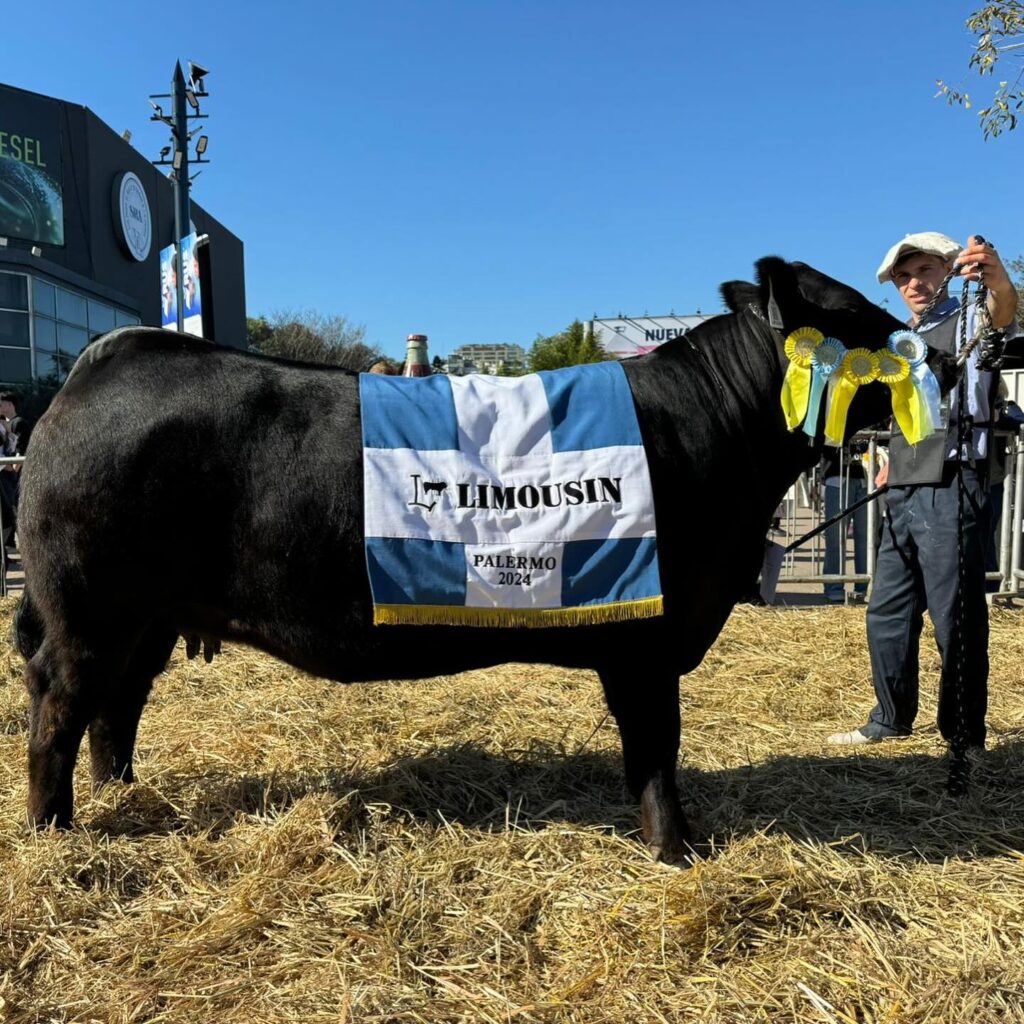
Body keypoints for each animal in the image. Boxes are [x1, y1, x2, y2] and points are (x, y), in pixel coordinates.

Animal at [13, 257, 957, 863]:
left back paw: (122, 794)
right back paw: (57, 829)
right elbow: (657, 748)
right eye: (859, 320)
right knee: (60, 707)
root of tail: (110, 358)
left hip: (148, 618)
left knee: (118, 708)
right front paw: (677, 851)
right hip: (90, 610)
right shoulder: (650, 642)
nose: (944, 359)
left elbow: (644, 750)